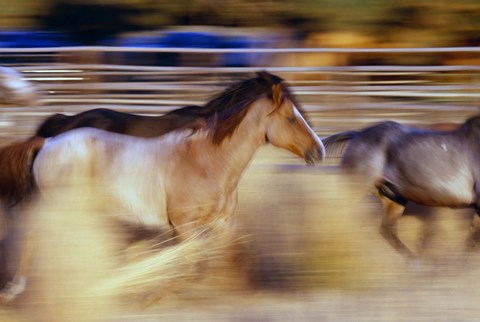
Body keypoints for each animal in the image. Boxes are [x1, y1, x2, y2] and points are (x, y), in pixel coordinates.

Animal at [0, 71, 326, 300]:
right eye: (291, 118)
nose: (319, 150)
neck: (207, 160)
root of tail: (48, 142)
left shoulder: (222, 224)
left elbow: (225, 259)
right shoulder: (184, 226)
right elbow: (190, 267)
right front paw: (149, 294)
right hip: (61, 208)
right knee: (36, 238)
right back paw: (18, 288)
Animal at [322, 117, 480, 262]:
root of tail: (357, 135)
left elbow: (472, 238)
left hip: (393, 198)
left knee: (387, 229)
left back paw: (413, 261)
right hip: (354, 190)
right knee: (340, 219)